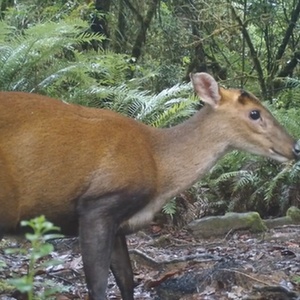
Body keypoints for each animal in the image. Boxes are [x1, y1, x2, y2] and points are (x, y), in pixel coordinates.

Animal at [0, 73, 298, 300]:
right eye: (255, 113)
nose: (295, 147)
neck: (158, 165)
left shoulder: (118, 223)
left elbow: (127, 280)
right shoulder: (98, 205)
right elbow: (97, 285)